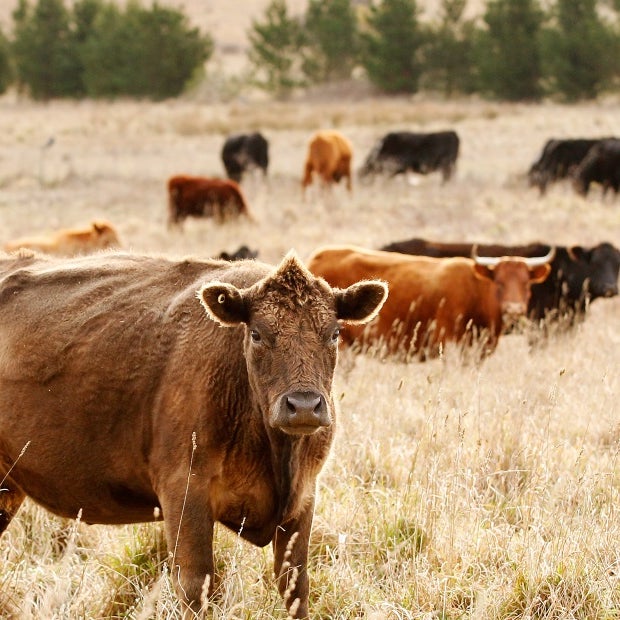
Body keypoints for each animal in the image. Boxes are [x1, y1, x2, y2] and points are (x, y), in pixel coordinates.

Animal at [0, 249, 388, 616]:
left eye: (334, 333)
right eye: (257, 333)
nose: (304, 405)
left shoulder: (303, 499)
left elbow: (295, 586)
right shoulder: (184, 492)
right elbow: (195, 586)